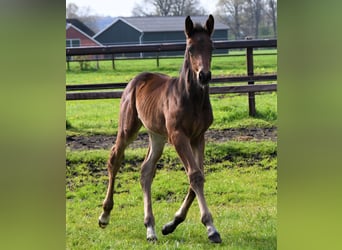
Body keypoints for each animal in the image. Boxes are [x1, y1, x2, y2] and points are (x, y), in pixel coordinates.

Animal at [98, 14, 222, 243]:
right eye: (190, 48)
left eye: (212, 46)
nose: (204, 76)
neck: (191, 98)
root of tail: (136, 79)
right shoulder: (178, 136)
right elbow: (195, 175)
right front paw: (211, 228)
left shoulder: (199, 137)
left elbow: (197, 176)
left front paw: (171, 224)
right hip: (128, 128)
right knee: (115, 159)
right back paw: (104, 215)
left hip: (156, 136)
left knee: (146, 171)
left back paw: (151, 228)